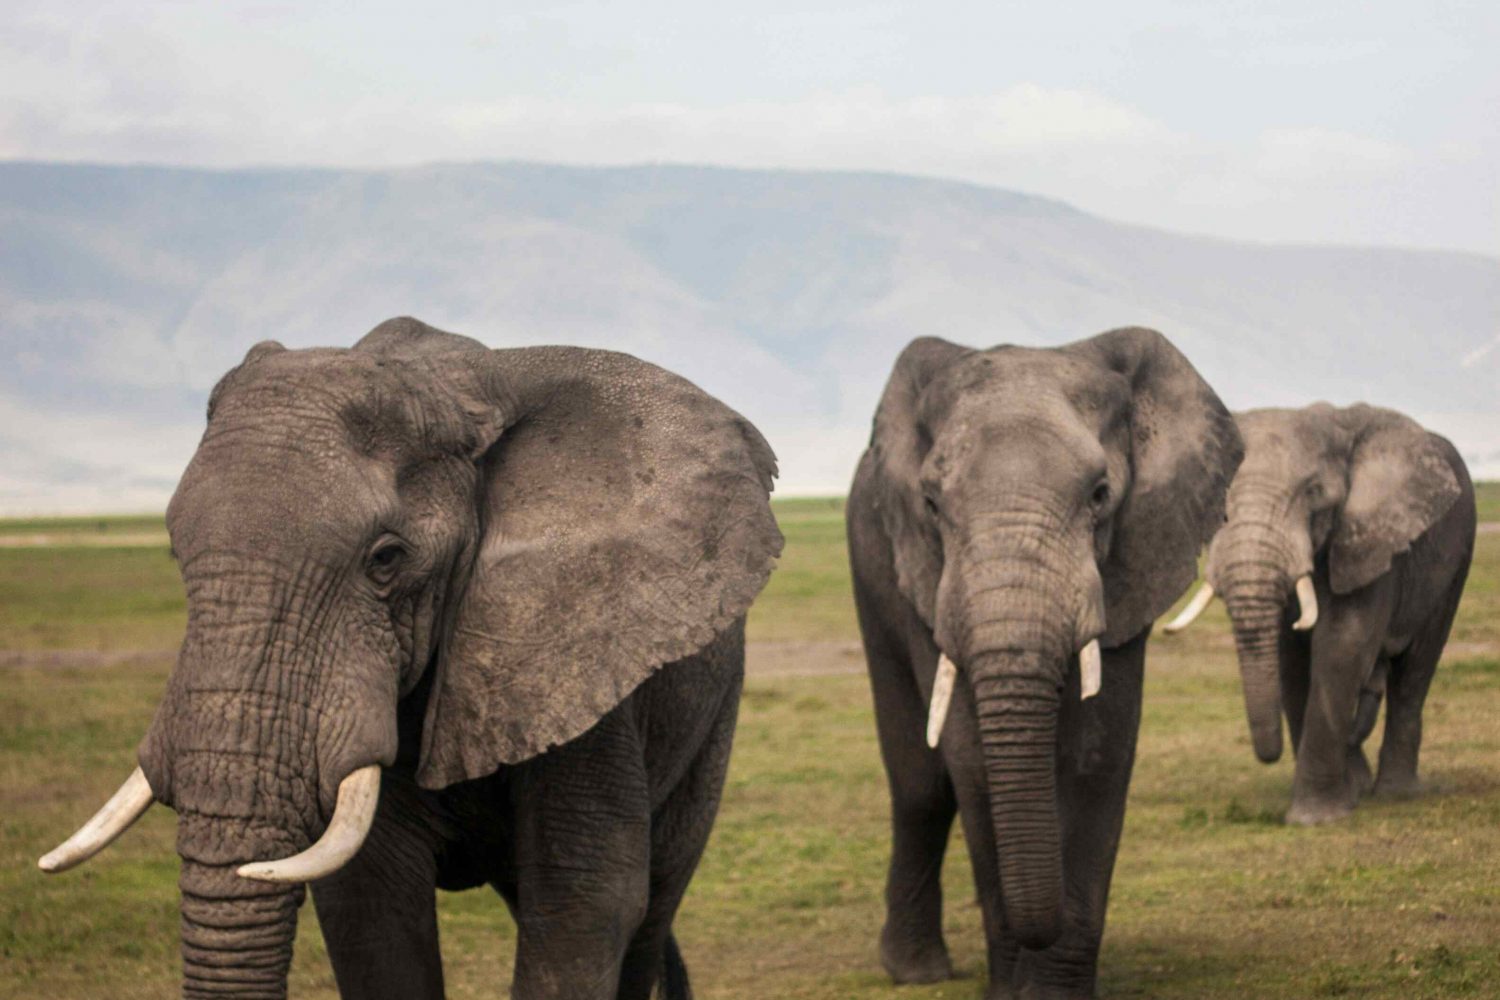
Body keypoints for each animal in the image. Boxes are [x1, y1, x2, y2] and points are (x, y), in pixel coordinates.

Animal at [38, 314, 786, 1000]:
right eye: (173, 550)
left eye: (386, 560)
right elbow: (371, 907)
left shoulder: (579, 647)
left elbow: (586, 901)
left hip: (713, 714)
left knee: (654, 902)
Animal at [846, 328, 1242, 1000]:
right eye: (930, 503)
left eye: (1101, 496)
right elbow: (972, 758)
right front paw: (1011, 987)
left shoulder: (1132, 558)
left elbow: (1096, 755)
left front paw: (1052, 989)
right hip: (870, 570)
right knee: (920, 783)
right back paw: (916, 971)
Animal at [1164, 401, 1470, 827]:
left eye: (1314, 493)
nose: (1269, 754)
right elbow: (1292, 661)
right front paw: (1341, 799)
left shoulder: (1368, 538)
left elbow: (1343, 644)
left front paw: (1314, 819)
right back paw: (1360, 785)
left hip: (1456, 561)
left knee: (1416, 670)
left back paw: (1396, 792)